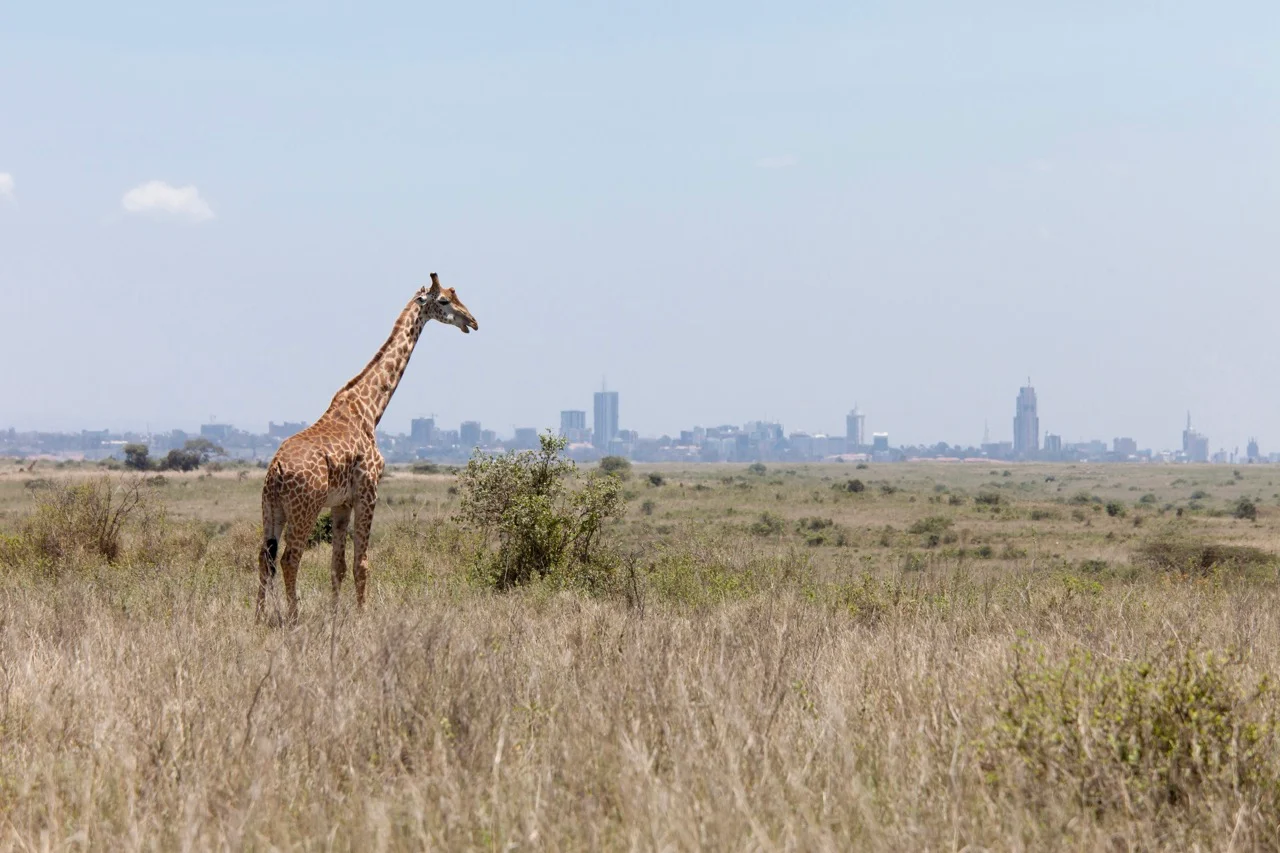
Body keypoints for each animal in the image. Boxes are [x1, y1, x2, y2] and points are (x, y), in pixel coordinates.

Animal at [257, 275, 478, 622]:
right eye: (443, 300)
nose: (472, 321)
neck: (371, 408)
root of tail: (276, 471)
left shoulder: (341, 502)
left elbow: (337, 565)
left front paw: (335, 615)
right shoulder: (368, 490)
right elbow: (361, 564)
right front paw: (363, 617)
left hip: (271, 508)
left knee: (264, 559)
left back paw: (257, 617)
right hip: (304, 508)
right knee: (289, 558)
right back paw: (294, 618)